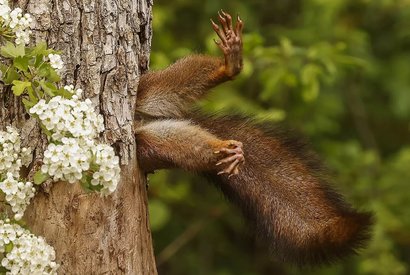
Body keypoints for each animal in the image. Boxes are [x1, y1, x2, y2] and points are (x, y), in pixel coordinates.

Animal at [134, 10, 372, 268]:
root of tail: (141, 121)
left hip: (145, 90)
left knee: (172, 84)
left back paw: (229, 67)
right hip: (147, 143)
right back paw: (224, 150)